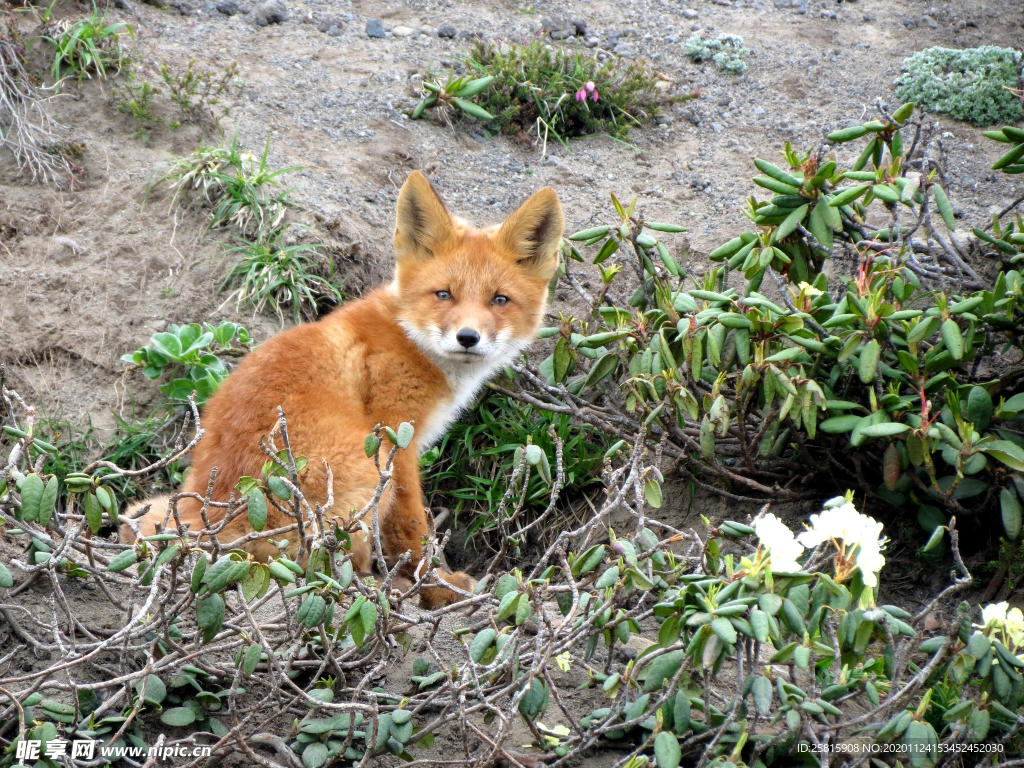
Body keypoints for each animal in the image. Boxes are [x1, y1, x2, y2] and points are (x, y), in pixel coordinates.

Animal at [122, 171, 565, 610]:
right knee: (321, 565)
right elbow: (412, 526)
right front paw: (437, 586)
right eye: (444, 294)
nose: (468, 337)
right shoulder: (397, 439)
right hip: (365, 465)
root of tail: (217, 517)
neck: (408, 337)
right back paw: (380, 587)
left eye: (499, 300)